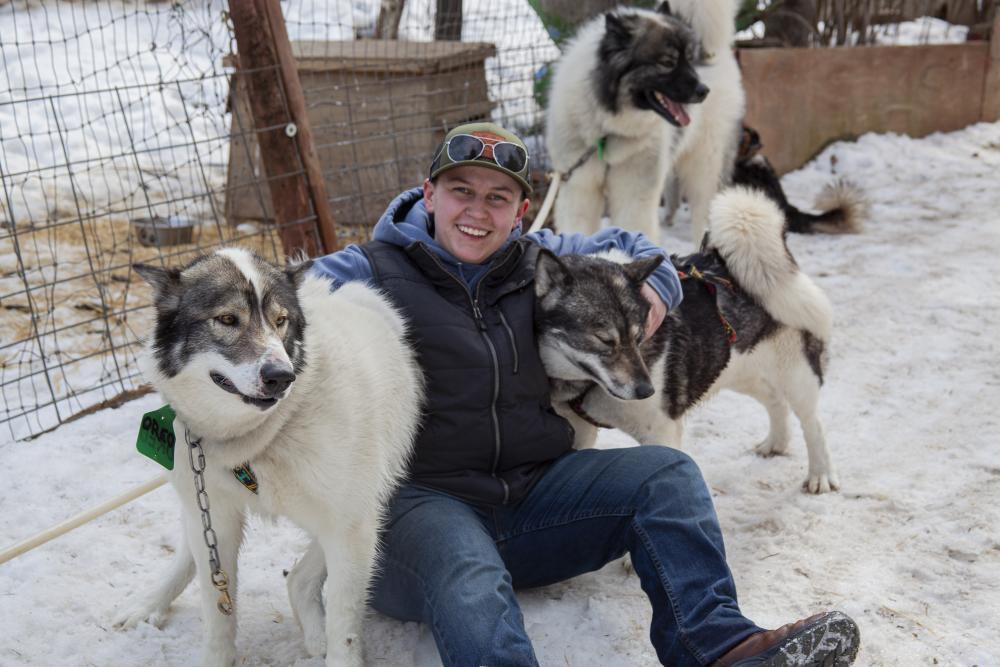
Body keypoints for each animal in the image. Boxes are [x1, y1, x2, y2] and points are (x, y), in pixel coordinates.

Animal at [536, 185, 840, 494]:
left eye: (639, 336)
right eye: (605, 340)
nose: (646, 390)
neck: (584, 386)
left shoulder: (661, 431)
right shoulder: (579, 430)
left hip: (796, 375)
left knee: (813, 423)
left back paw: (821, 474)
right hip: (741, 369)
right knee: (774, 399)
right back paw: (776, 443)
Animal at [548, 0, 744, 245]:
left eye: (689, 60)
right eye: (667, 63)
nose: (703, 91)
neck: (608, 128)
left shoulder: (633, 193)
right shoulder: (579, 188)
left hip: (705, 166)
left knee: (705, 209)